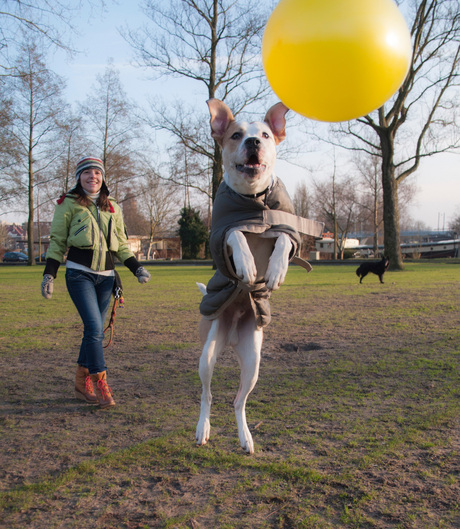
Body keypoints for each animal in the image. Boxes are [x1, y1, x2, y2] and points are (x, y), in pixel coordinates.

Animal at [194, 97, 294, 452]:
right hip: (208, 354)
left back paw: (245, 438)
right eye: (236, 135)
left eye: (264, 134)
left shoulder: (289, 230)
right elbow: (236, 234)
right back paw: (202, 430)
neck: (253, 202)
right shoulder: (219, 236)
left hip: (253, 363)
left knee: (238, 401)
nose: (252, 142)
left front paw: (275, 269)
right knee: (207, 396)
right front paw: (248, 264)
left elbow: (283, 239)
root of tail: (234, 337)